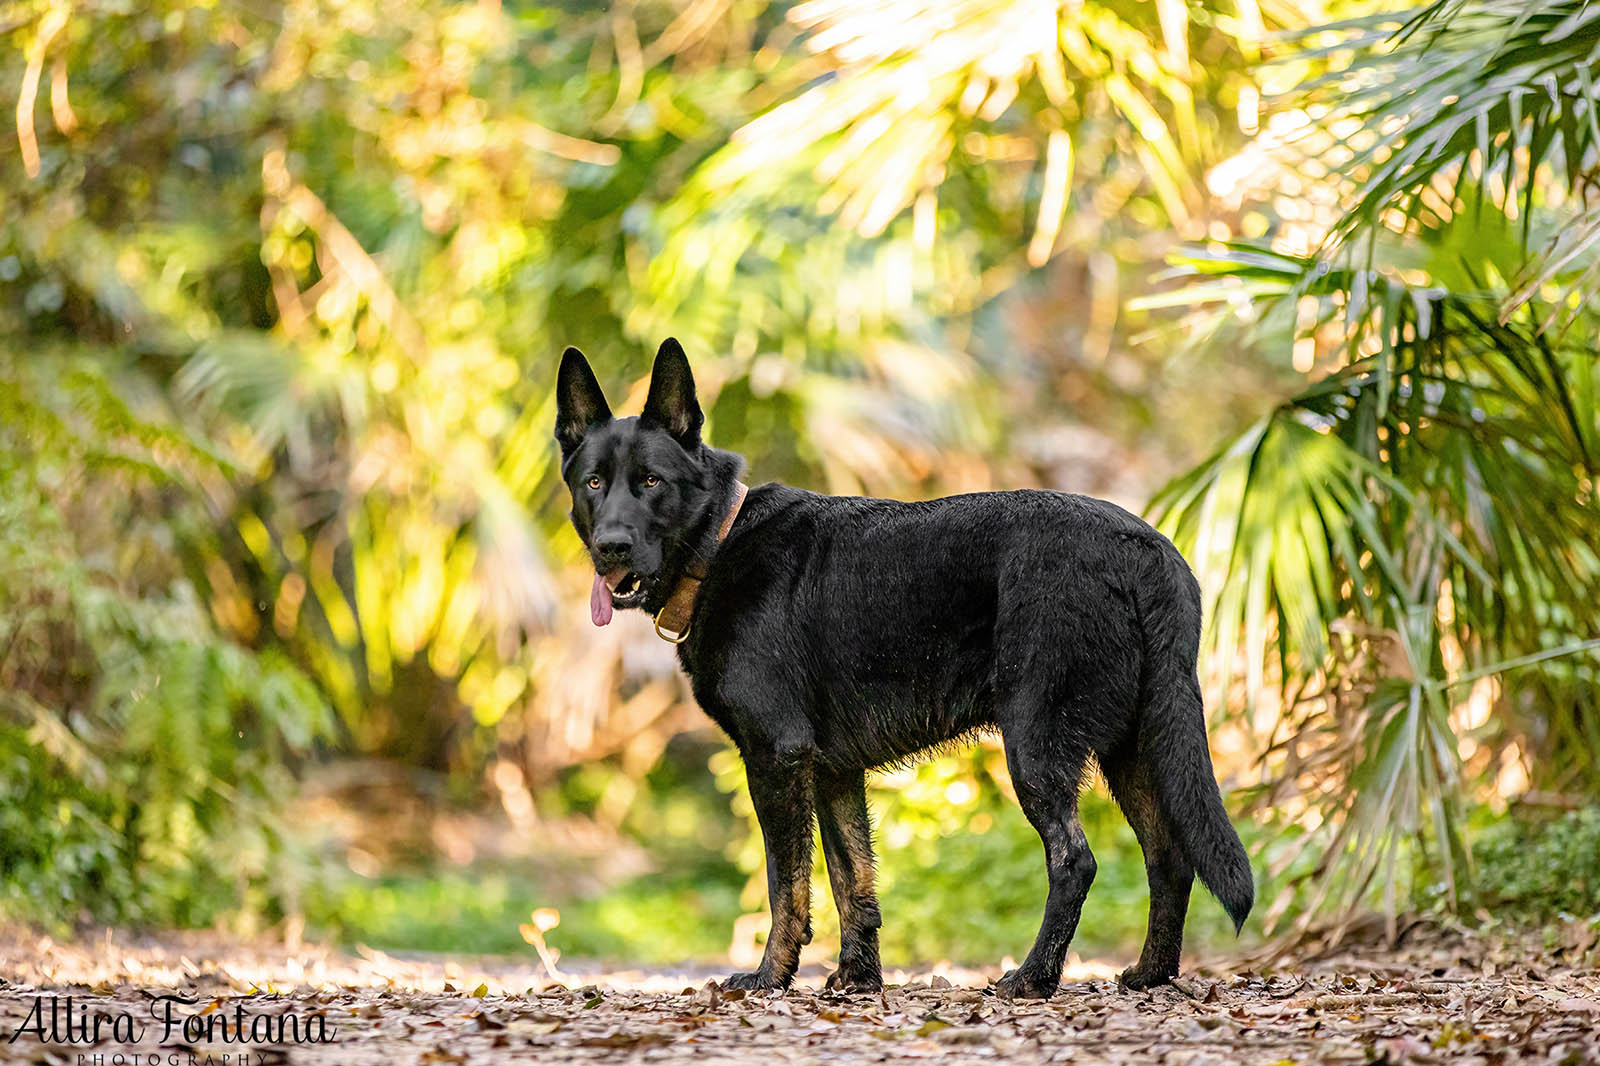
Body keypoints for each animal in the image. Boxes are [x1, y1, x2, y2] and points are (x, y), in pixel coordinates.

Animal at [556, 337, 1254, 998]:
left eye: (651, 482)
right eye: (593, 483)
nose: (611, 547)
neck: (719, 541)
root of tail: (1146, 548)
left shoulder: (776, 758)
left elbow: (788, 884)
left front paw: (770, 977)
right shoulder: (833, 774)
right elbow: (853, 881)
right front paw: (859, 977)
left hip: (1037, 747)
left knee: (1075, 861)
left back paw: (1034, 978)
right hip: (1133, 747)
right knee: (1169, 858)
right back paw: (1151, 974)